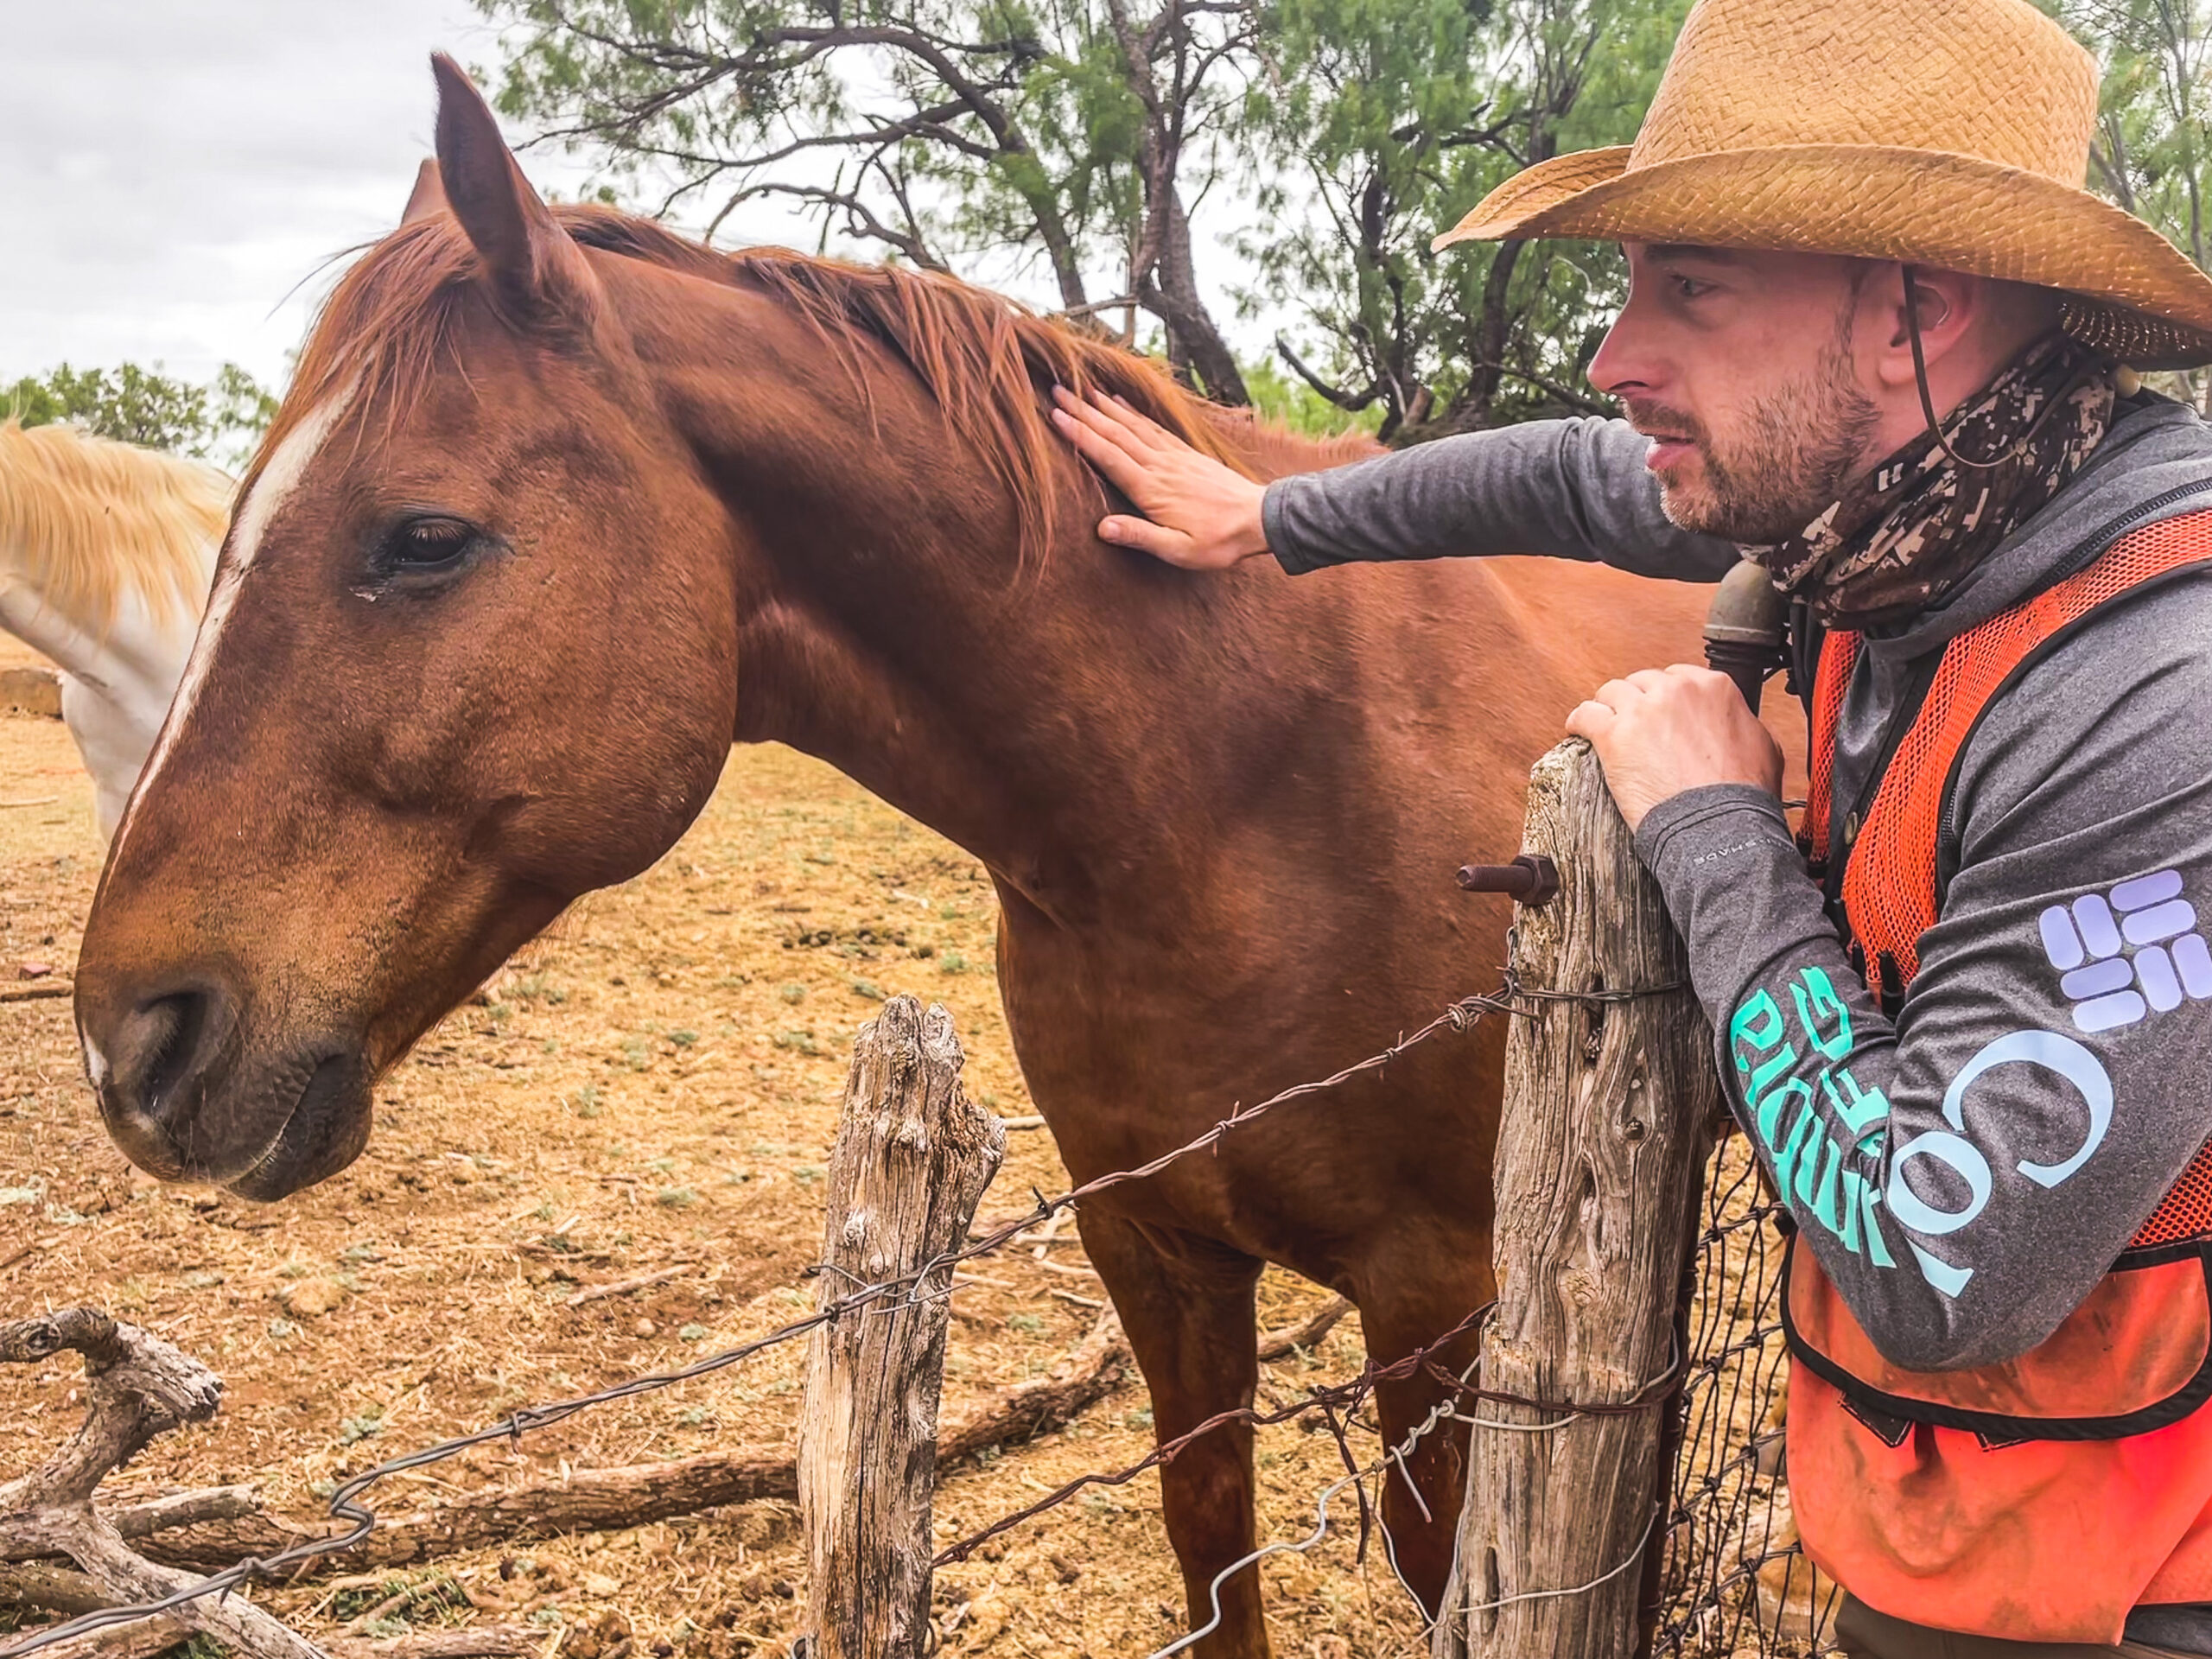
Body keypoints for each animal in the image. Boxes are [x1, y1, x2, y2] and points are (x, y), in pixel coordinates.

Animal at [73, 55, 1743, 1659]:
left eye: (423, 537)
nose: (129, 1040)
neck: (1246, 785)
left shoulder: (1442, 1300)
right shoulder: (1157, 1249)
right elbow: (1212, 1545)